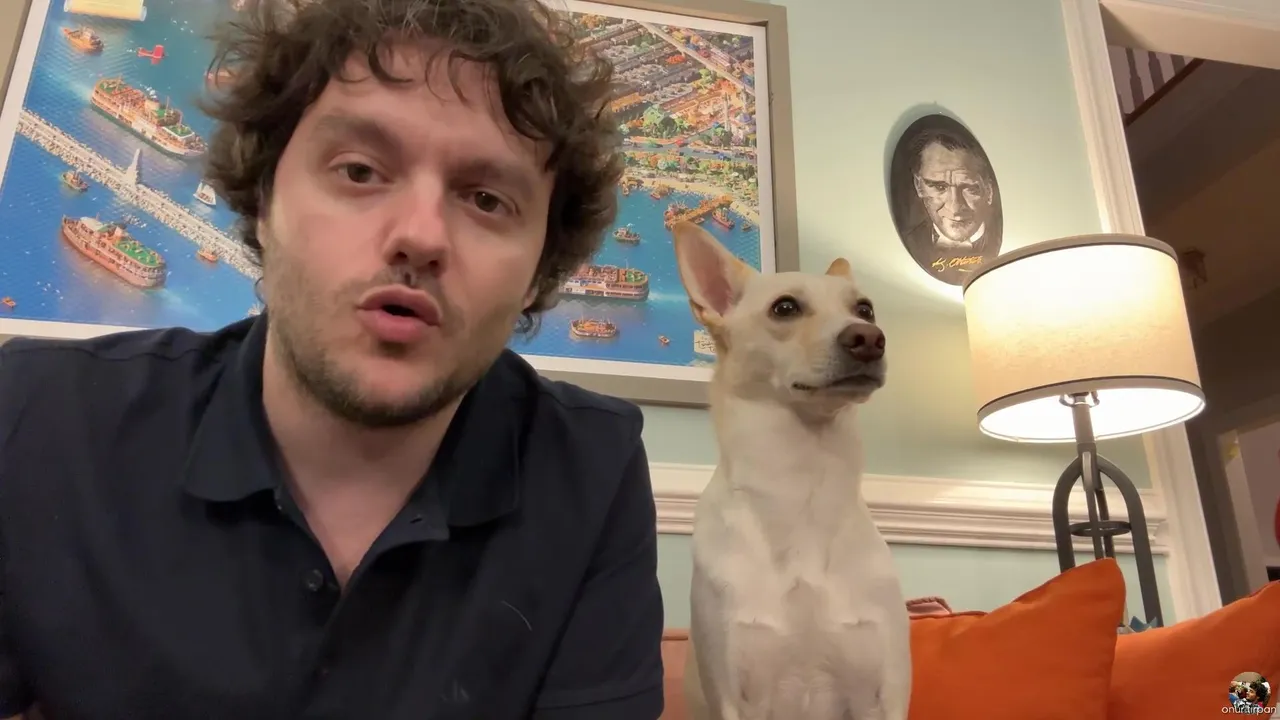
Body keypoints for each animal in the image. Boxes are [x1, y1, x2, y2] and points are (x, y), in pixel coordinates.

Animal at [672, 221, 911, 720]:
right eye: (785, 308)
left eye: (865, 308)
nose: (869, 338)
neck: (801, 482)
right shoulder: (736, 695)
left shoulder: (882, 692)